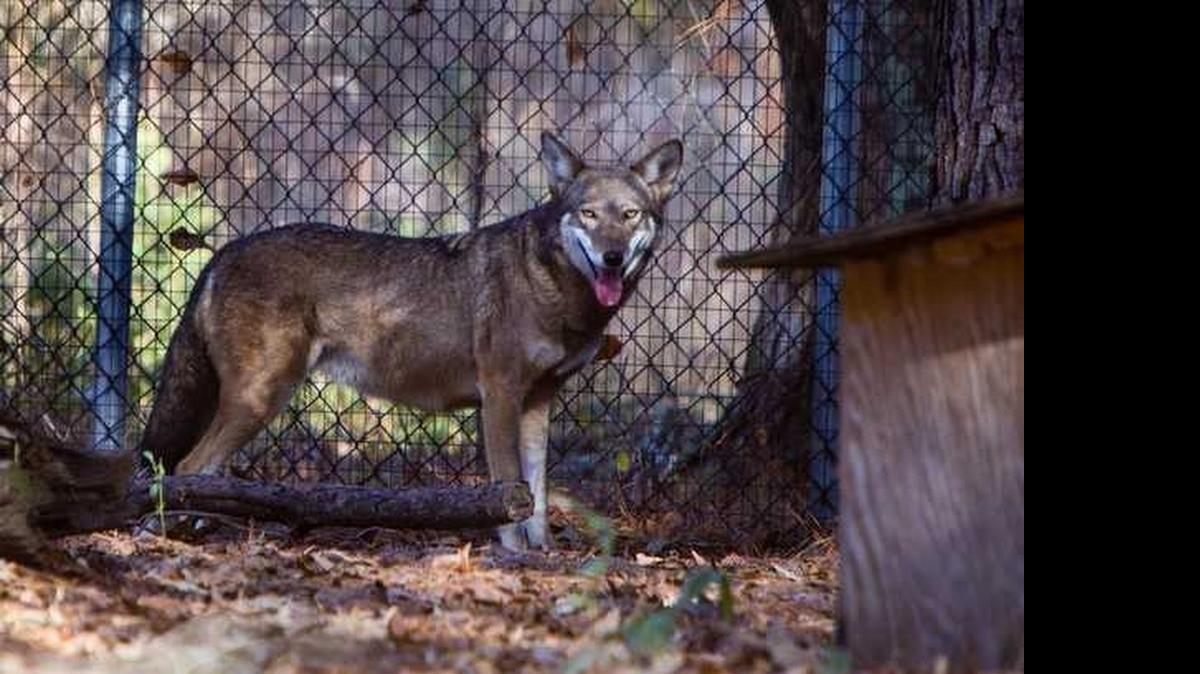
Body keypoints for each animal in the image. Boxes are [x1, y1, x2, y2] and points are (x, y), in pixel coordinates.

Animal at [140, 132, 683, 550]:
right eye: (588, 214)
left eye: (630, 215)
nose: (612, 258)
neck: (553, 289)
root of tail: (223, 252)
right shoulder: (500, 397)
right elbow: (509, 491)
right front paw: (512, 556)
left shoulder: (538, 402)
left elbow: (538, 496)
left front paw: (544, 554)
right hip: (261, 398)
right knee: (186, 464)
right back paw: (160, 533)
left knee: (198, 469)